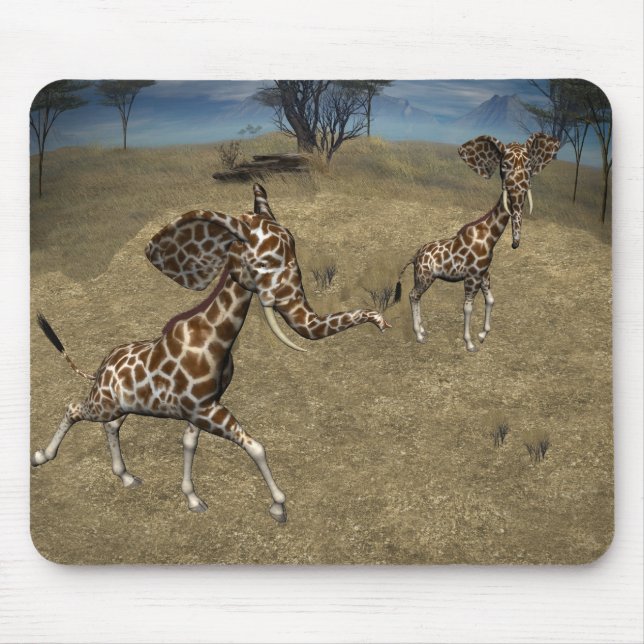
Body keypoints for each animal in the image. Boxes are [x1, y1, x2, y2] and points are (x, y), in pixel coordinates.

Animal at [32, 183, 391, 523]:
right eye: (264, 263)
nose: (382, 322)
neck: (216, 338)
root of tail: (99, 368)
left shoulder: (200, 407)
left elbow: (190, 444)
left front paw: (193, 501)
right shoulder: (203, 408)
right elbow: (256, 446)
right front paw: (278, 508)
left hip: (121, 405)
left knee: (110, 425)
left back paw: (127, 478)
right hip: (103, 402)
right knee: (73, 407)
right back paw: (41, 457)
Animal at [394, 132, 560, 352]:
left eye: (530, 164)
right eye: (504, 165)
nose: (515, 244)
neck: (490, 237)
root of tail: (415, 256)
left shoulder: (484, 274)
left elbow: (490, 300)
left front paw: (482, 335)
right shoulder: (472, 276)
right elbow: (468, 308)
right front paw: (470, 343)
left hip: (425, 277)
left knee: (416, 296)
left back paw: (422, 330)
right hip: (424, 277)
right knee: (413, 295)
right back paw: (419, 335)